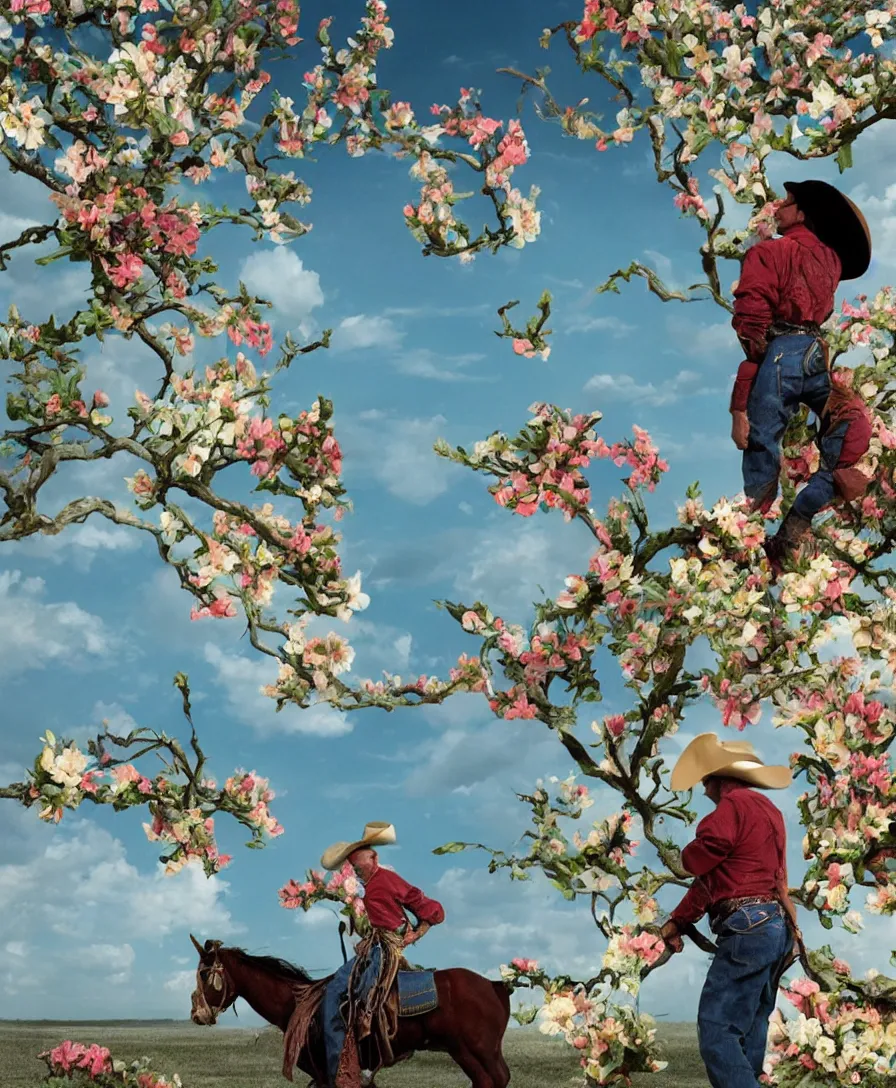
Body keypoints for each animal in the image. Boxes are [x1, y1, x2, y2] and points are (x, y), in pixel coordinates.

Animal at [189, 935, 511, 1088]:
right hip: (486, 1052)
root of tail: (495, 985)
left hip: (470, 1051)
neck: (296, 1005)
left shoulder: (327, 1072)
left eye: (205, 974)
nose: (197, 1016)